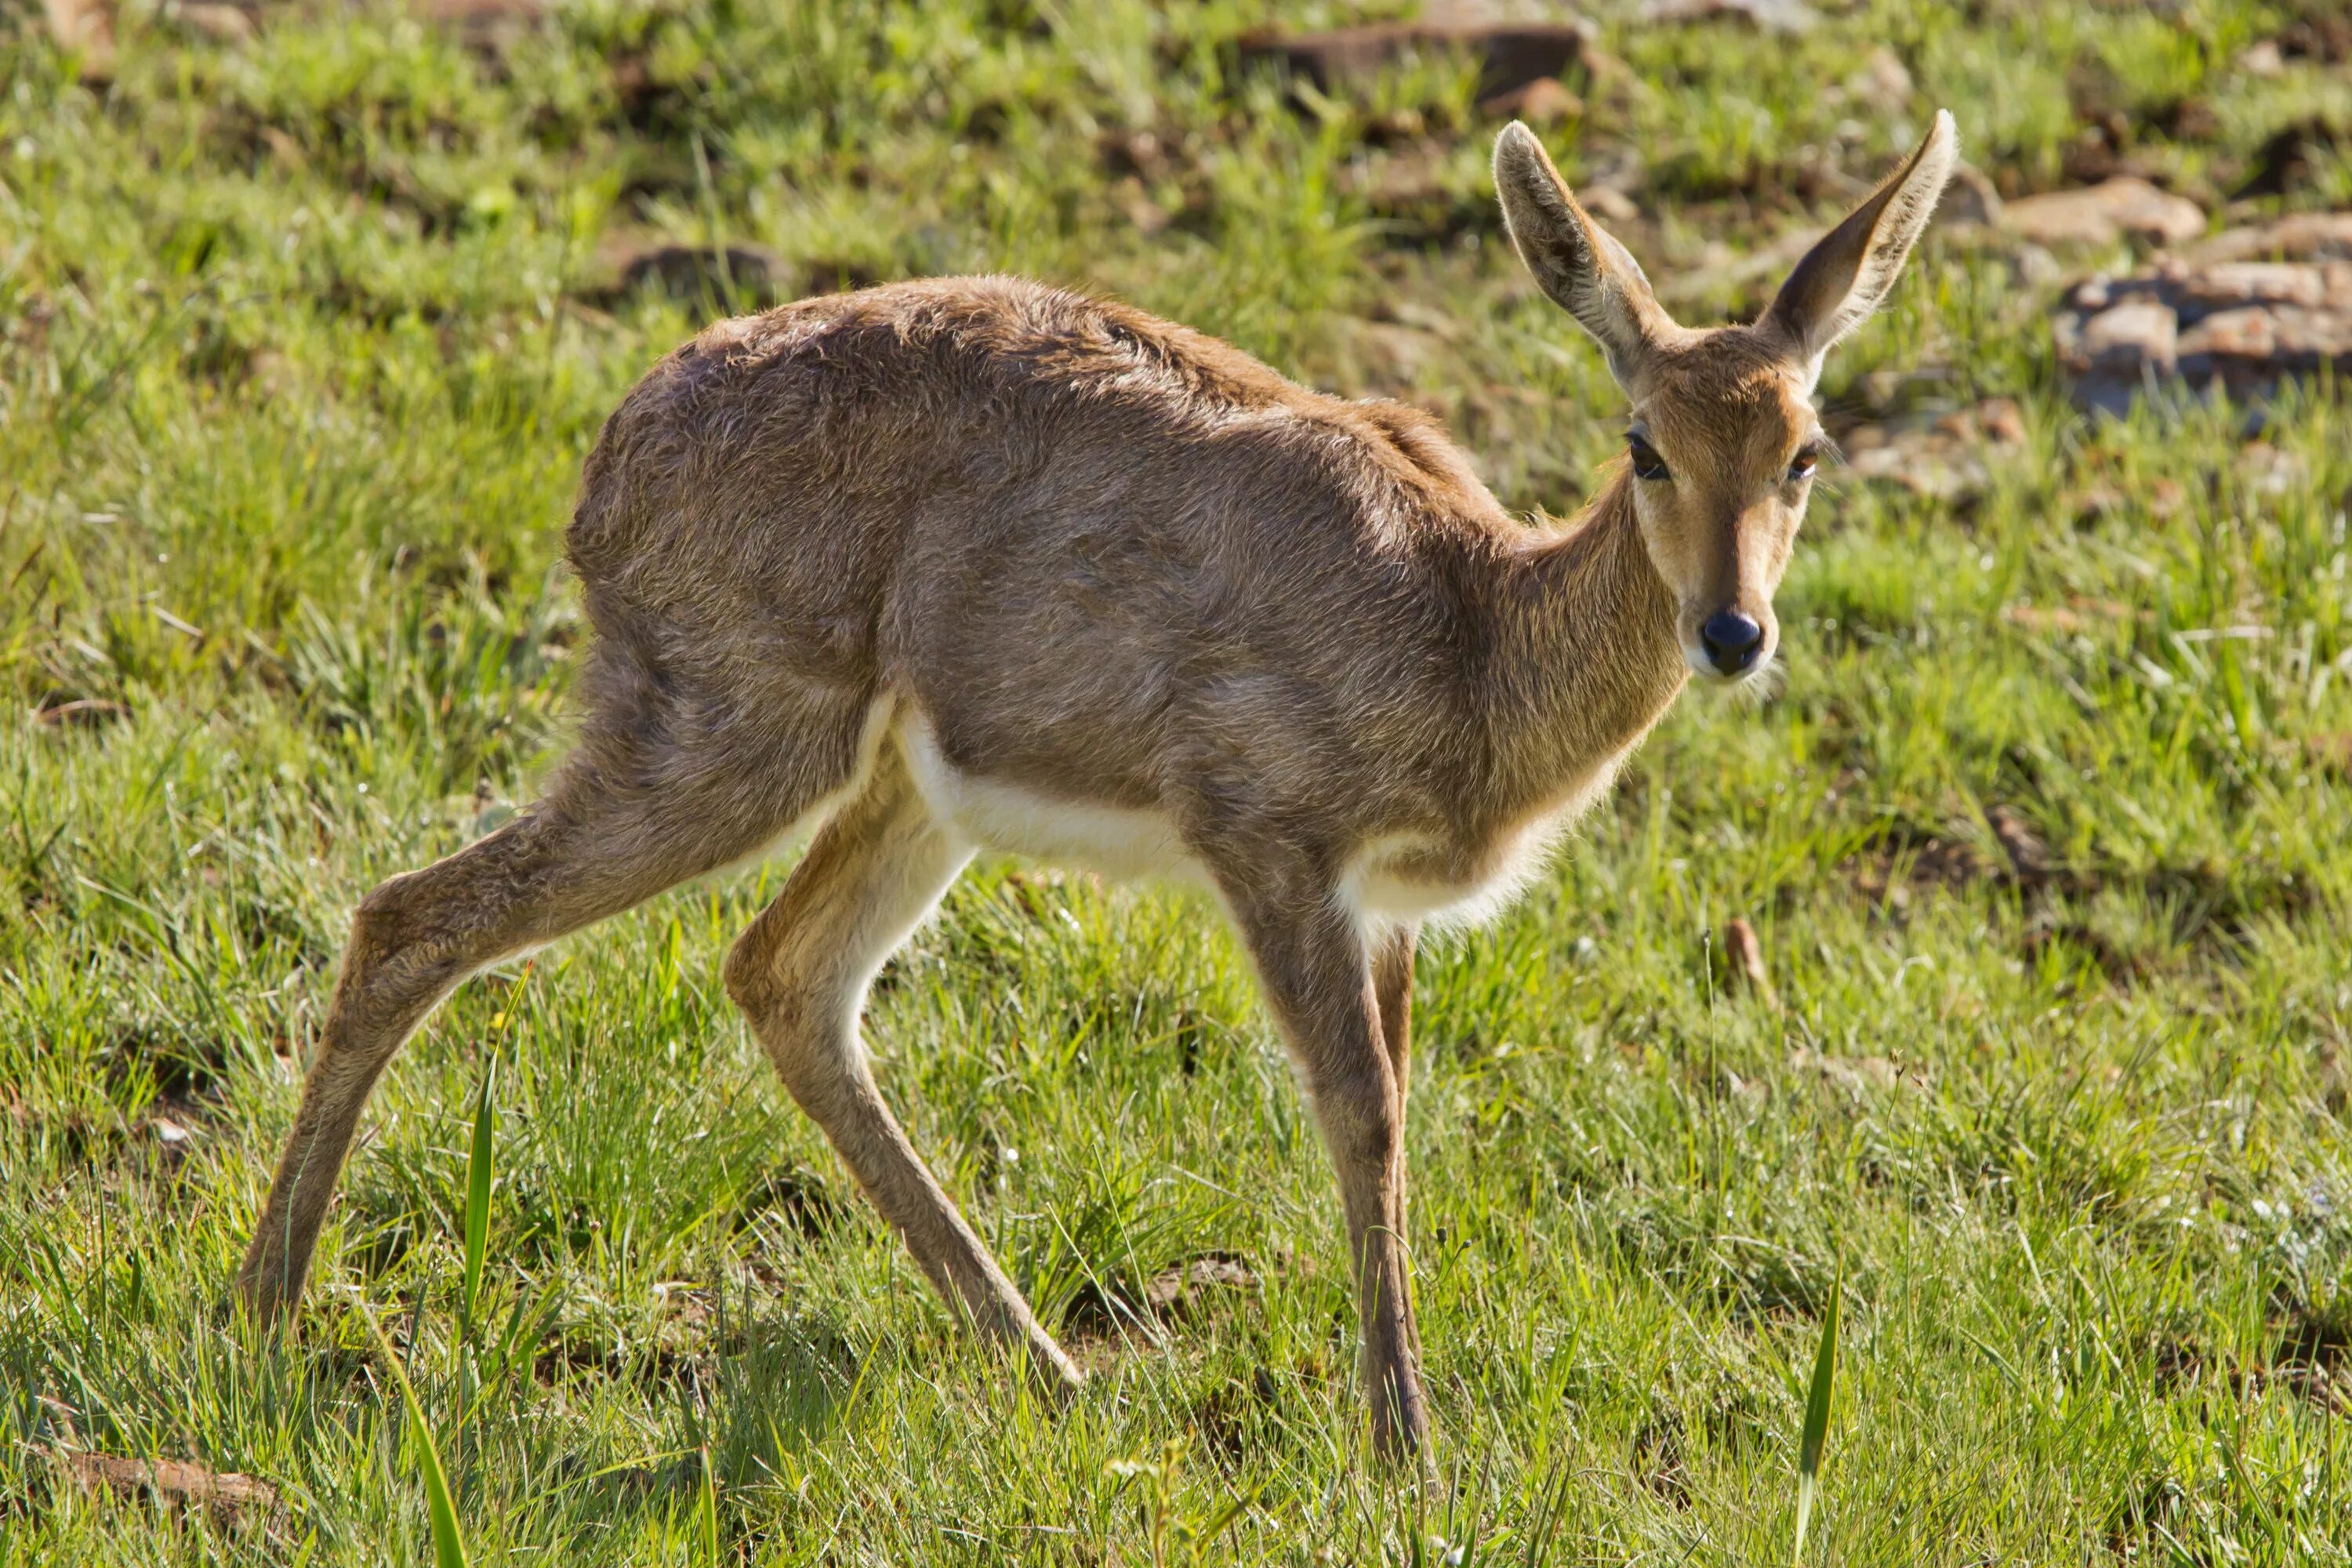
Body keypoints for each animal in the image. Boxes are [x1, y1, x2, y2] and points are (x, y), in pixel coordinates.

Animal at [248, 113, 1957, 1457]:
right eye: (1645, 444)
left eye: (1806, 452)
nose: (1732, 631)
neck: (1472, 626)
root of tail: (611, 460)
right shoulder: (1270, 846)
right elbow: (1362, 1114)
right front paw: (1406, 1448)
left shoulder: (1389, 911)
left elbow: (1402, 1111)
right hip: (729, 742)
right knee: (413, 917)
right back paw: (263, 1309)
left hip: (905, 794)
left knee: (783, 977)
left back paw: (1054, 1371)